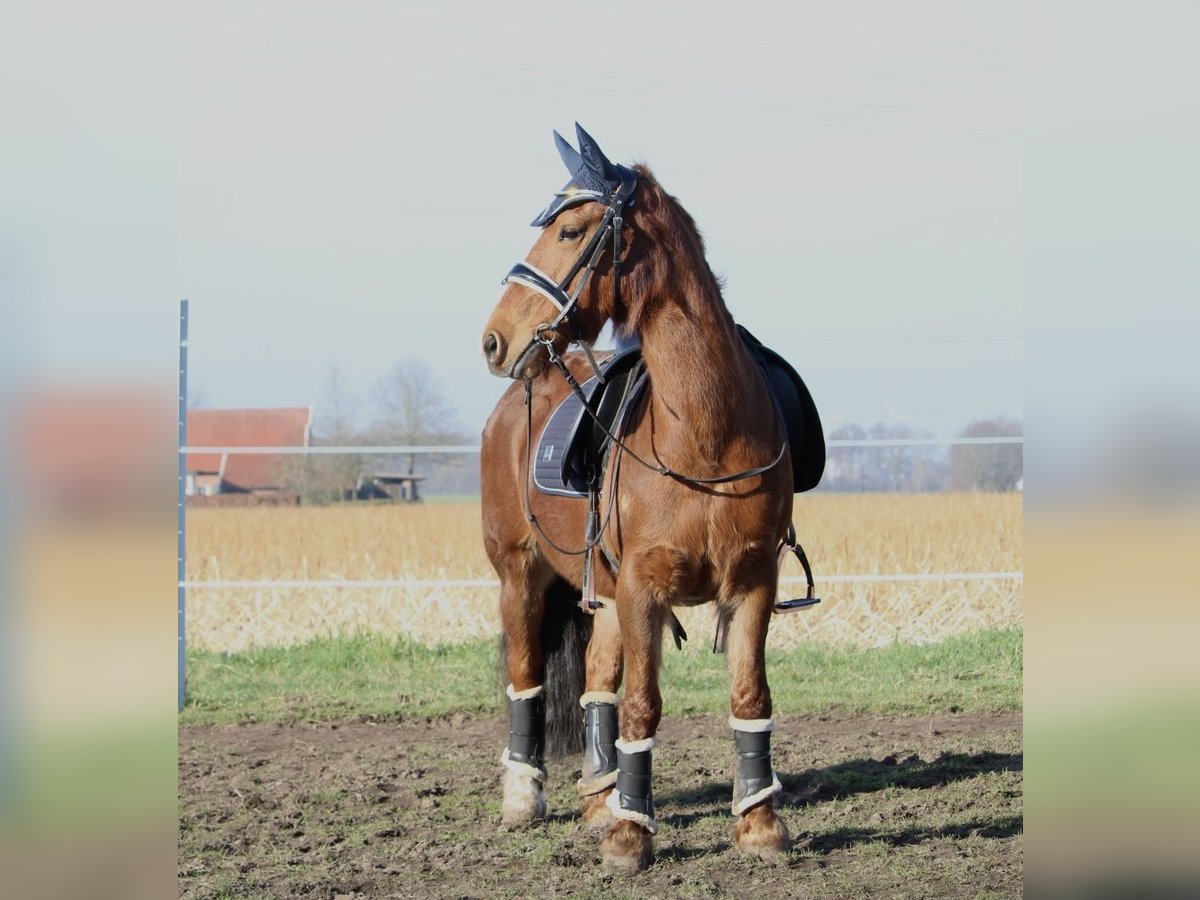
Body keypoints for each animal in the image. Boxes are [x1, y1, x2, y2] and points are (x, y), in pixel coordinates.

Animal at [480, 124, 796, 872]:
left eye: (570, 230)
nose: (495, 339)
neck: (704, 436)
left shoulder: (753, 583)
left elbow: (748, 695)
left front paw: (759, 825)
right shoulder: (643, 590)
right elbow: (643, 705)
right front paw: (632, 836)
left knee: (596, 679)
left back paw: (602, 800)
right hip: (521, 578)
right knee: (526, 676)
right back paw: (525, 797)